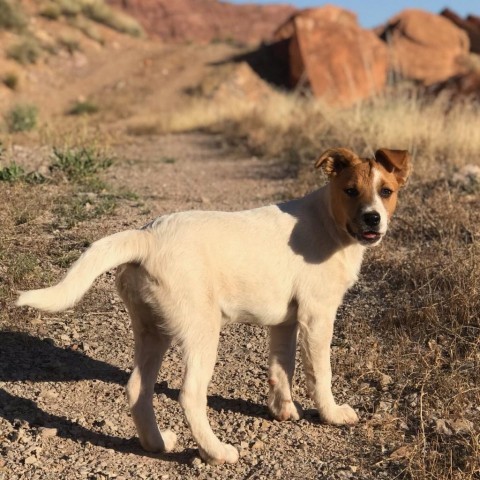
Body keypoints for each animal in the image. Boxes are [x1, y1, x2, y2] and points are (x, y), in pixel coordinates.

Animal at [16, 146, 410, 464]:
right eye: (350, 191)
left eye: (386, 192)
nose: (372, 218)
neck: (330, 221)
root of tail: (147, 236)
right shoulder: (317, 316)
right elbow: (320, 373)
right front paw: (332, 414)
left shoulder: (285, 323)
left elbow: (282, 368)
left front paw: (282, 410)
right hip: (202, 330)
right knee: (190, 395)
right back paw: (216, 452)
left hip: (152, 329)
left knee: (137, 389)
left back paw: (157, 444)